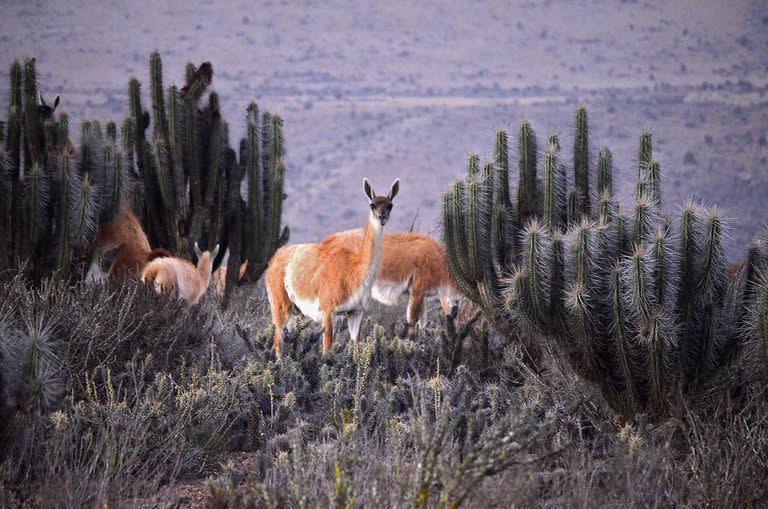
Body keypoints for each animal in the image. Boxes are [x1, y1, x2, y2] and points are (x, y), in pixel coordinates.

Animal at [266, 177, 400, 356]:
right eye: (372, 205)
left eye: (390, 205)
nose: (382, 216)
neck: (355, 271)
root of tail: (274, 258)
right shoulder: (328, 310)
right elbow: (327, 348)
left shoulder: (356, 312)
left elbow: (356, 346)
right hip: (280, 303)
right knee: (277, 342)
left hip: (295, 311)